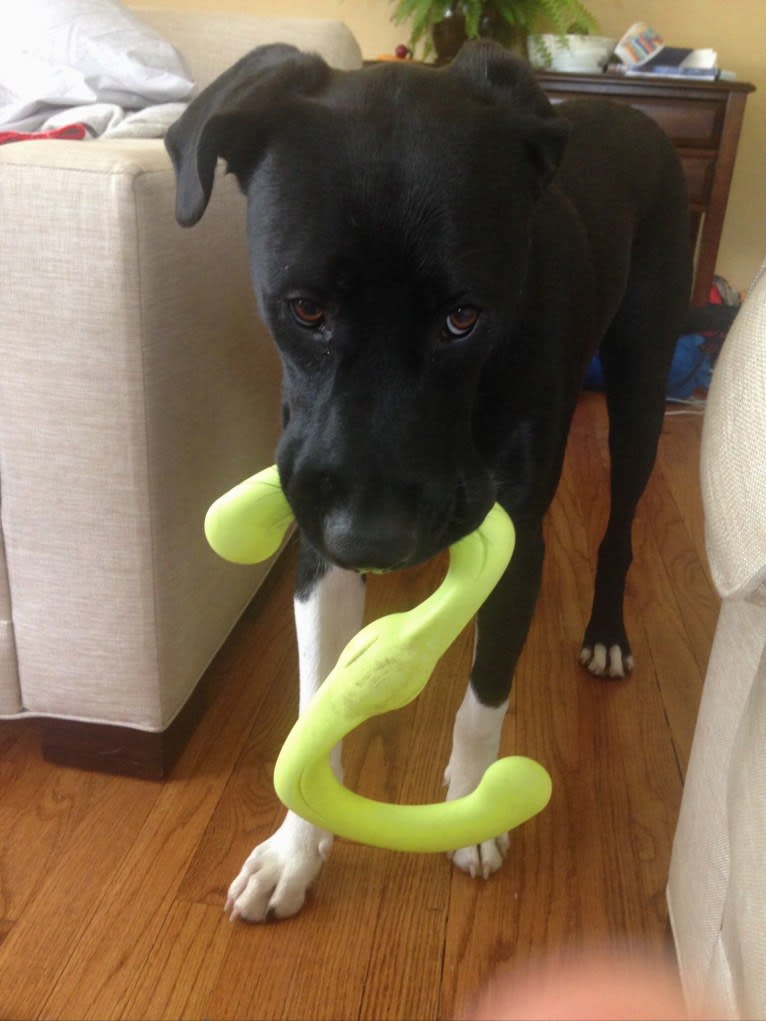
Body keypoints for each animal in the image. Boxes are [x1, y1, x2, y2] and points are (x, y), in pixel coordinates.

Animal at [167, 39, 694, 922]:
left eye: (463, 316)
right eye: (305, 309)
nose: (372, 540)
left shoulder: (518, 541)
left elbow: (485, 698)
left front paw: (474, 809)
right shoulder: (318, 538)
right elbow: (316, 696)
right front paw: (294, 852)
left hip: (642, 389)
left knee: (620, 525)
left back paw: (606, 633)